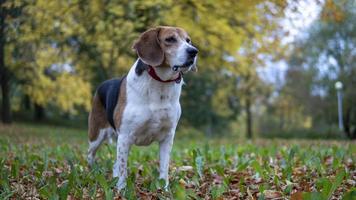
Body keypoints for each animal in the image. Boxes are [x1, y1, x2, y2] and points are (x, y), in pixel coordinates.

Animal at [86, 26, 197, 189]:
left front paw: (164, 189)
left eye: (188, 40)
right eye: (170, 39)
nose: (194, 51)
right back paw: (91, 174)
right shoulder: (125, 136)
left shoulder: (168, 137)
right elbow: (123, 168)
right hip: (97, 135)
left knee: (114, 164)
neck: (160, 85)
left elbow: (164, 167)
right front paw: (122, 189)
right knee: (90, 155)